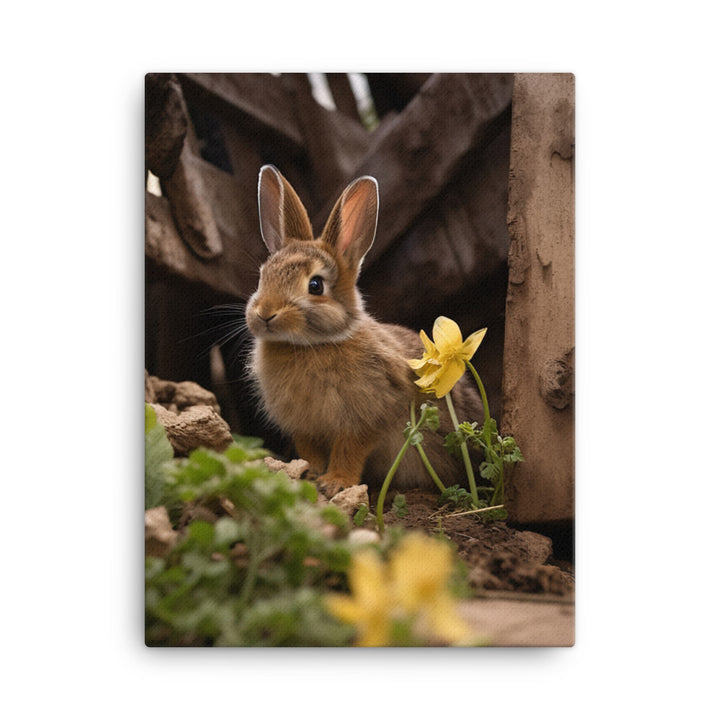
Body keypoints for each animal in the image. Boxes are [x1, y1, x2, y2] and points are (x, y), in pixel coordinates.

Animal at [245, 164, 484, 497]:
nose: (265, 314)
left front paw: (335, 483)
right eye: (262, 277)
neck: (312, 344)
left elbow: (350, 449)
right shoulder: (304, 427)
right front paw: (308, 474)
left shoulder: (367, 417)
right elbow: (311, 451)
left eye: (315, 285)